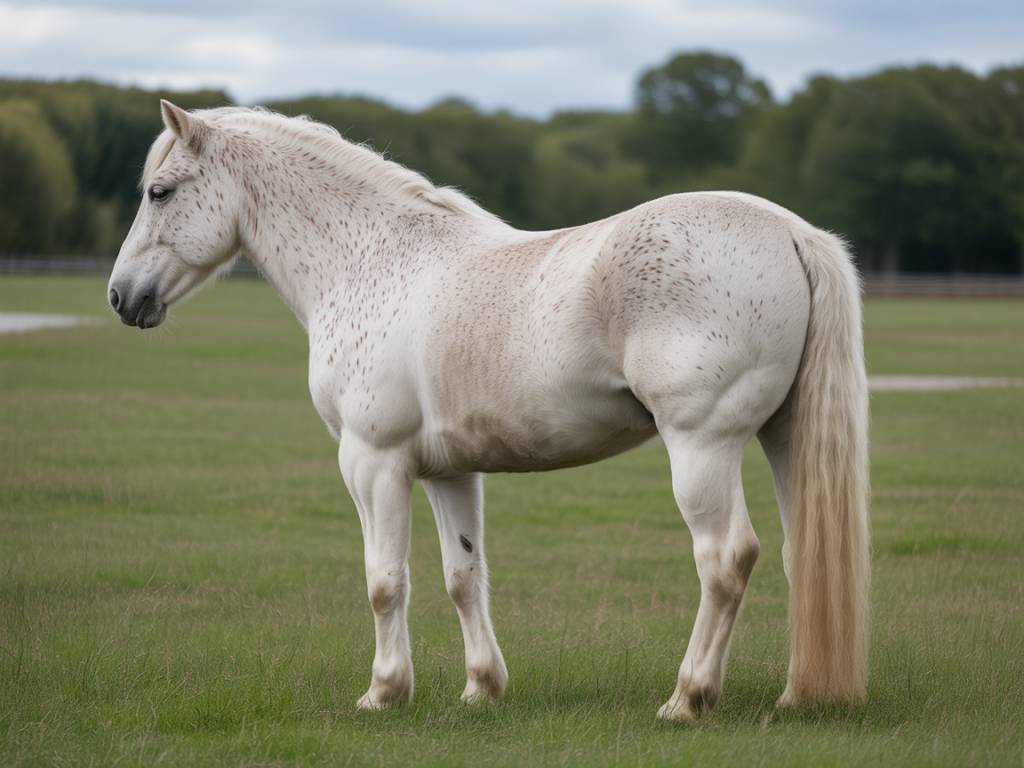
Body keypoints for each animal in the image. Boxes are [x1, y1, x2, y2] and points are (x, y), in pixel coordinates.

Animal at [107, 100, 870, 721]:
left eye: (159, 191)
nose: (121, 296)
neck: (371, 261)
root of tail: (790, 231)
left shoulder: (372, 462)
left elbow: (384, 582)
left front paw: (384, 691)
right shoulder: (450, 472)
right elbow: (462, 578)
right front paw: (481, 688)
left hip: (701, 448)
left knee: (726, 559)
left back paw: (688, 697)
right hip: (784, 439)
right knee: (802, 559)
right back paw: (796, 694)